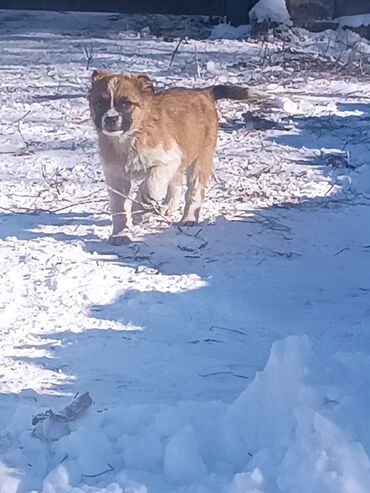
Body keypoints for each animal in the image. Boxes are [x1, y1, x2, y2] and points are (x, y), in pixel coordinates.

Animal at [88, 69, 264, 244]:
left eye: (126, 104)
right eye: (99, 103)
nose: (110, 119)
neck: (130, 139)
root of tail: (203, 92)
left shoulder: (167, 160)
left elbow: (150, 185)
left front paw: (138, 210)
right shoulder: (116, 176)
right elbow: (120, 208)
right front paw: (121, 234)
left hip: (200, 160)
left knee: (193, 192)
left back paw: (189, 218)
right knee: (176, 185)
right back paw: (167, 207)